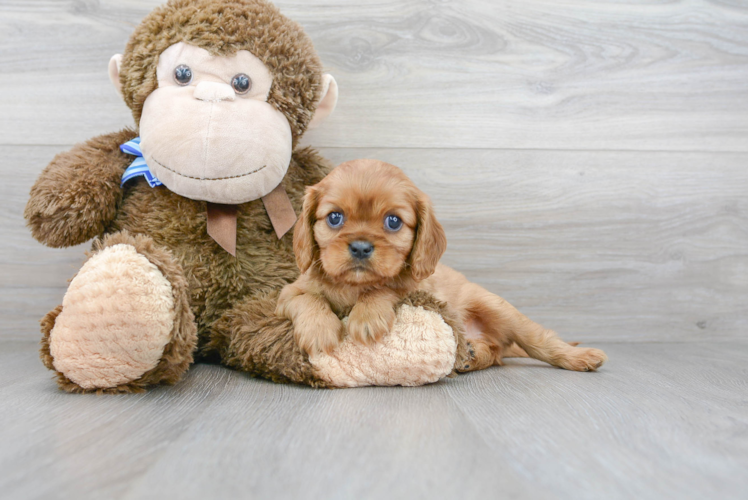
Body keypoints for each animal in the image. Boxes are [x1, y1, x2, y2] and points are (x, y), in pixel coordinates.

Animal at [276, 159, 608, 372]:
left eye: (393, 221)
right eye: (334, 217)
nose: (360, 247)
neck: (353, 287)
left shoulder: (416, 287)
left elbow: (386, 287)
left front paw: (366, 315)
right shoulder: (285, 296)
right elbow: (308, 299)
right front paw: (319, 329)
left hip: (497, 308)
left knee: (537, 341)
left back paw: (579, 356)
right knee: (496, 353)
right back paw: (471, 355)